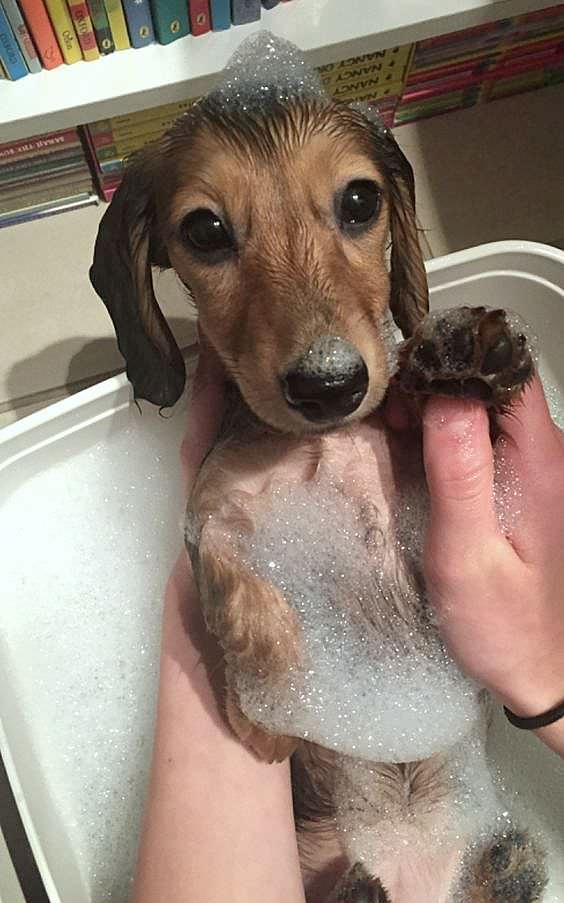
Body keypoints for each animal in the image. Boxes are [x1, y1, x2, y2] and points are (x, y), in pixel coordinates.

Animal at [90, 37, 544, 903]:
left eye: (360, 200)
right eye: (205, 229)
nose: (330, 385)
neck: (317, 446)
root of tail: (417, 862)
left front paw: (462, 352)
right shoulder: (212, 513)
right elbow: (229, 576)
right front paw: (276, 707)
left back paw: (505, 866)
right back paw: (368, 888)